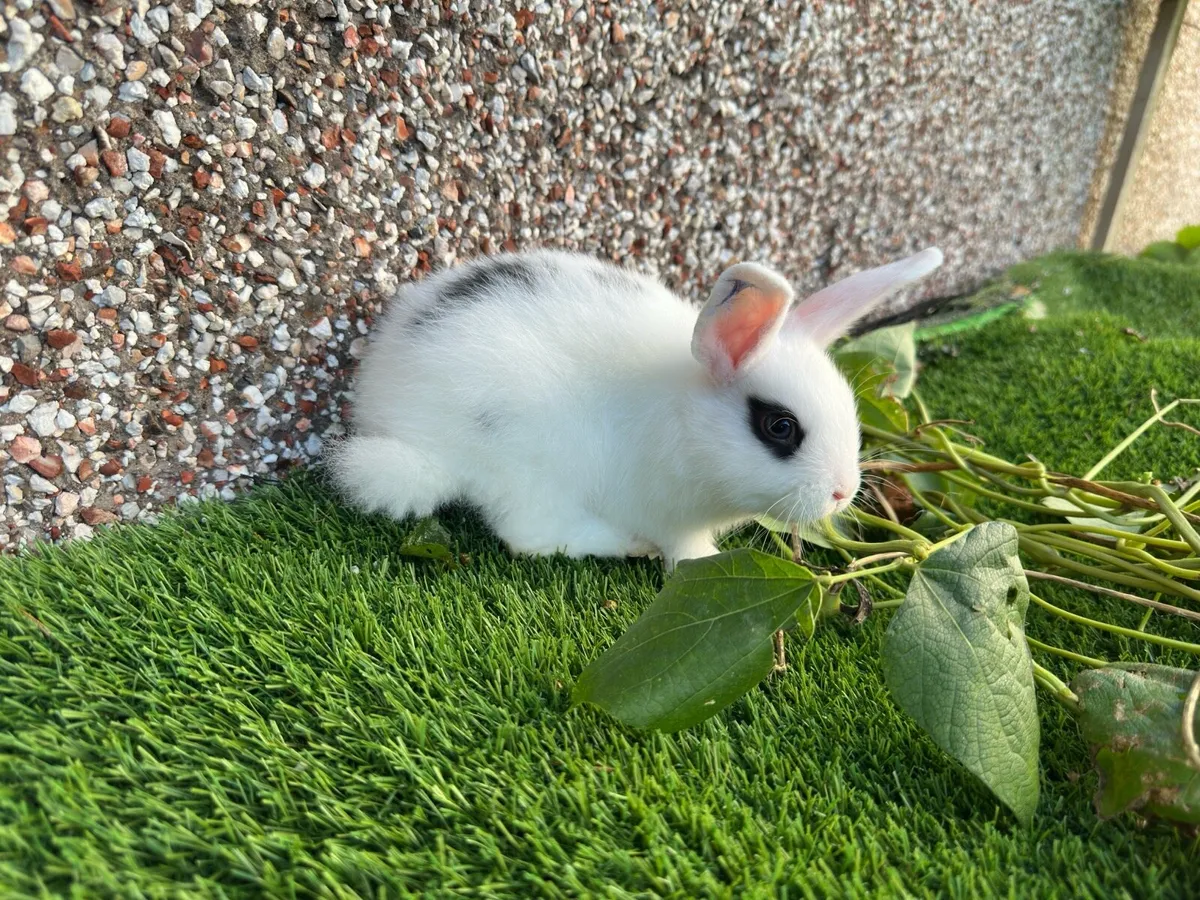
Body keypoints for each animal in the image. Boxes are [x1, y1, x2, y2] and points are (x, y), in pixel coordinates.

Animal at [328, 247, 943, 568]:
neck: (680, 416)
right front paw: (706, 566)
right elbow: (686, 554)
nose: (842, 492)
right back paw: (625, 544)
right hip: (532, 464)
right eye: (780, 426)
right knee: (531, 534)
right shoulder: (672, 518)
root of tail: (404, 430)